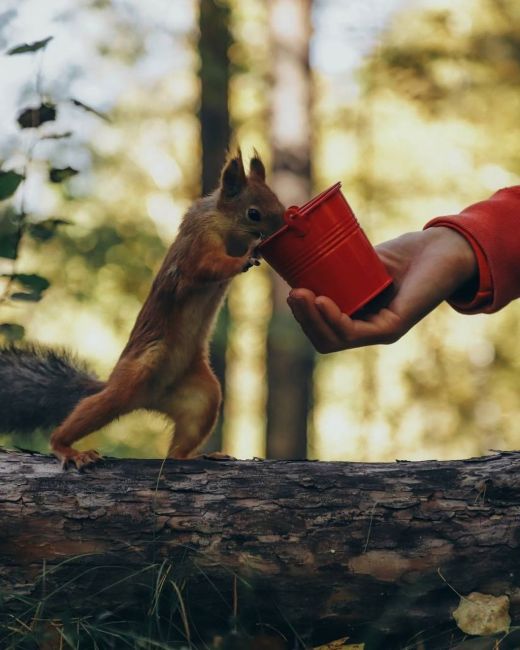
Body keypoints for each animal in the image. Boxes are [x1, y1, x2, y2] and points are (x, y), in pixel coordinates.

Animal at [0, 152, 284, 466]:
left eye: (278, 201)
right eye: (253, 213)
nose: (284, 224)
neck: (223, 224)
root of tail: (150, 398)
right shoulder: (197, 245)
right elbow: (207, 267)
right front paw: (247, 257)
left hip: (202, 397)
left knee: (175, 452)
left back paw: (199, 456)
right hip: (132, 378)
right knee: (92, 409)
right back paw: (68, 449)